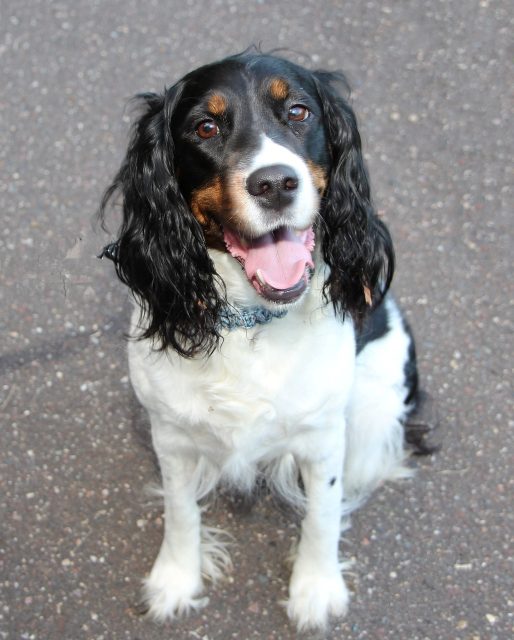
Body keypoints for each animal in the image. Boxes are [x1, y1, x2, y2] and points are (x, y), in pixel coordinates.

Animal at [98, 50, 434, 632]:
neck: (253, 321)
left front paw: (315, 588)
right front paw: (176, 579)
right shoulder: (171, 433)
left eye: (299, 112)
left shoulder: (323, 435)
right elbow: (180, 511)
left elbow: (322, 513)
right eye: (205, 127)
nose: (275, 183)